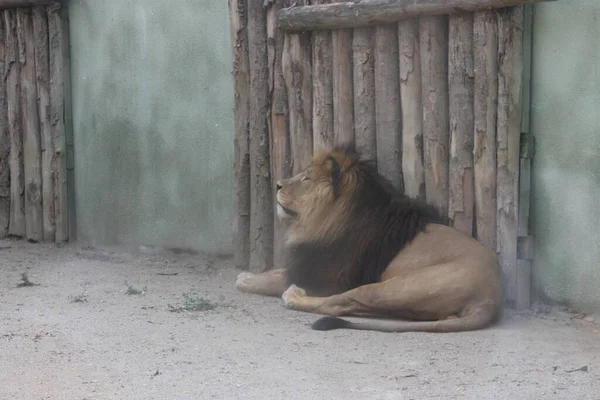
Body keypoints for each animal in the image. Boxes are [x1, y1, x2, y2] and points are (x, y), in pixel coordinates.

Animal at [234, 145, 502, 332]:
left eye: (306, 178)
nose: (278, 185)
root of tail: (490, 297)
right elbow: (276, 271)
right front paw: (249, 275)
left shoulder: (326, 277)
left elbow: (276, 280)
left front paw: (246, 281)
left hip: (392, 287)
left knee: (337, 304)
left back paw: (294, 297)